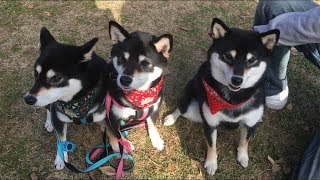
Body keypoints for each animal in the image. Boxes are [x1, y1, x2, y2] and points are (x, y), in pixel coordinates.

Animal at [23, 28, 109, 170]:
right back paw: (49, 122)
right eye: (36, 73)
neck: (78, 100)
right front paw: (61, 159)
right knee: (49, 108)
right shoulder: (59, 119)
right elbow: (62, 142)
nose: (28, 99)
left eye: (56, 78)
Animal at [105, 21, 172, 153]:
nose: (124, 80)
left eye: (145, 63)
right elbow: (117, 133)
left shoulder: (154, 108)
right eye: (122, 59)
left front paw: (156, 139)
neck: (139, 97)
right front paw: (122, 144)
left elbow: (152, 125)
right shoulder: (112, 115)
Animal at [164, 17, 278, 174]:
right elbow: (212, 146)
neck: (233, 99)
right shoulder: (210, 124)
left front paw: (243, 156)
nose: (237, 80)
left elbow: (245, 142)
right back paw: (171, 117)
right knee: (180, 107)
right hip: (191, 108)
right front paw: (211, 164)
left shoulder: (250, 123)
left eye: (251, 60)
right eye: (228, 56)